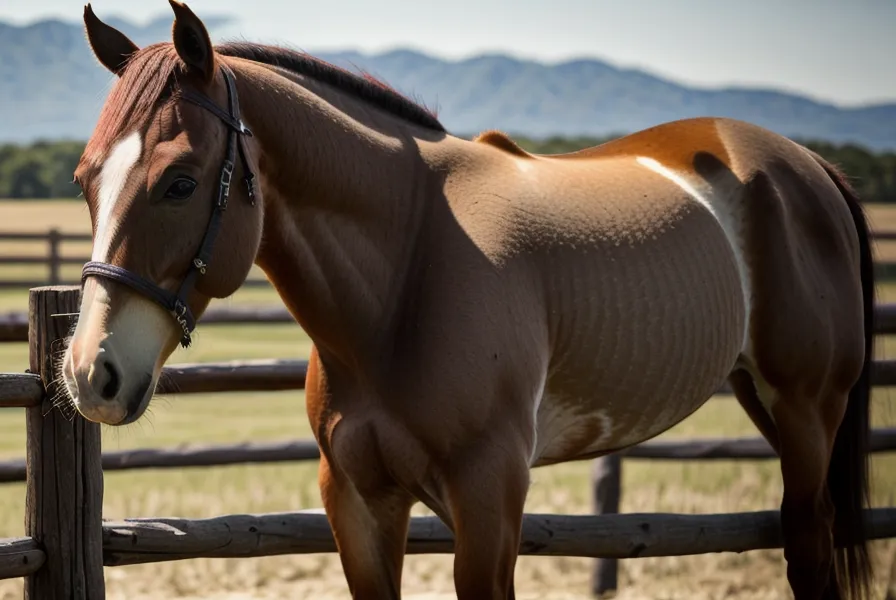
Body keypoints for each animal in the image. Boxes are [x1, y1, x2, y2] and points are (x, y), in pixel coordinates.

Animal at [61, 2, 875, 599]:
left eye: (180, 182)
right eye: (85, 179)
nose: (91, 375)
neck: (405, 281)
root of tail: (806, 167)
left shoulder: (489, 498)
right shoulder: (359, 503)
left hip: (808, 410)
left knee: (809, 544)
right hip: (764, 399)